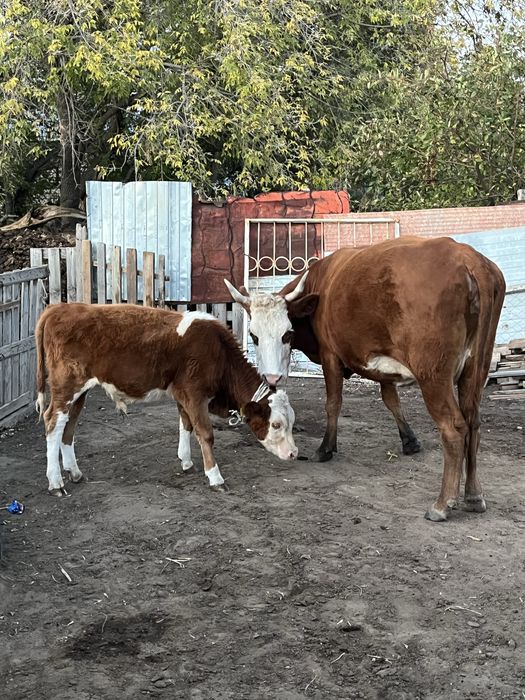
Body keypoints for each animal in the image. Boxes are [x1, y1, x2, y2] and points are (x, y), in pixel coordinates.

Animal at [35, 304, 298, 496]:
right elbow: (205, 433)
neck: (218, 352)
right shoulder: (195, 394)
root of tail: (60, 308)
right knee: (52, 423)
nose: (294, 454)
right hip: (66, 386)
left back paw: (74, 472)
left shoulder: (183, 395)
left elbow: (186, 425)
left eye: (291, 422)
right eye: (276, 424)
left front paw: (186, 461)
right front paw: (215, 477)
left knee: (68, 426)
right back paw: (56, 482)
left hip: (79, 393)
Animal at [225, 236, 505, 521]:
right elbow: (391, 400)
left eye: (287, 334)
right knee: (473, 422)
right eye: (254, 335)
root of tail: (468, 258)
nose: (272, 378)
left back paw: (442, 504)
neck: (322, 285)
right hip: (476, 369)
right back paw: (473, 496)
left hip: (434, 376)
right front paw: (409, 440)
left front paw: (326, 448)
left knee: (454, 428)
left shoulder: (330, 355)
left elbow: (333, 403)